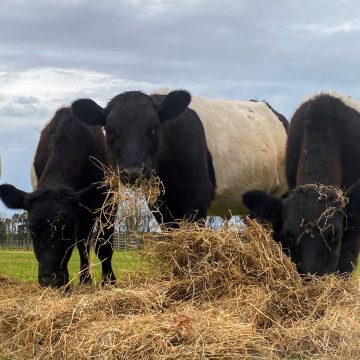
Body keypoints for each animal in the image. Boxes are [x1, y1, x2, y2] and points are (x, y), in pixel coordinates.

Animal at [0, 107, 115, 286]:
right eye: (32, 230)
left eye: (68, 230)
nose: (50, 279)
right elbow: (84, 243)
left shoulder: (109, 198)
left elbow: (104, 244)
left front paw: (109, 281)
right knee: (83, 242)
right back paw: (85, 279)